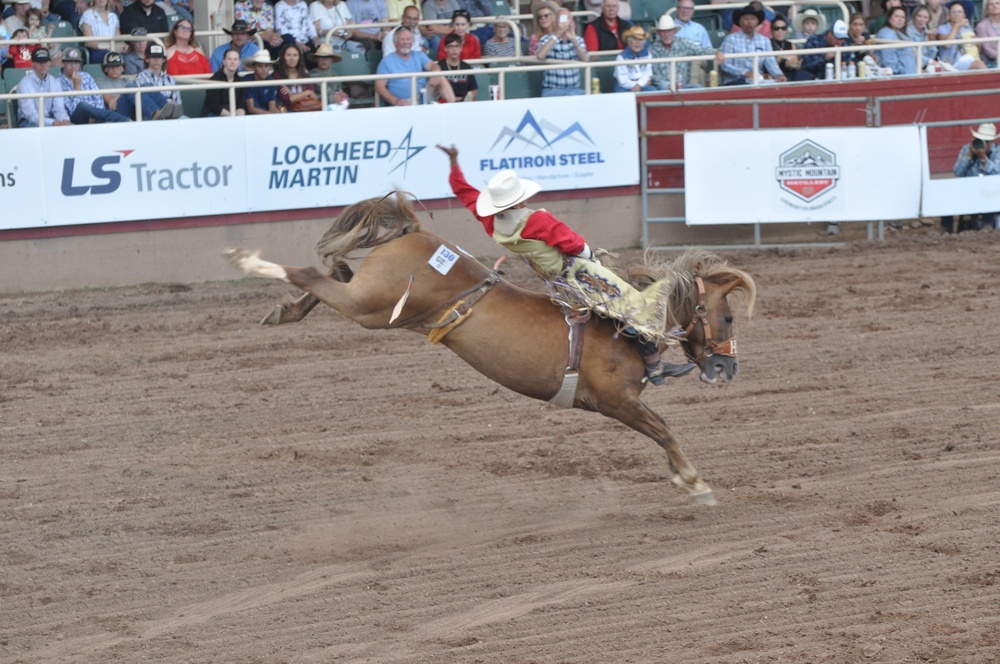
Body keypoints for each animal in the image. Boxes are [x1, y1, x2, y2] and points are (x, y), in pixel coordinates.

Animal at [227, 192, 756, 504]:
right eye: (728, 316)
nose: (727, 368)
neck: (626, 323)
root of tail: (418, 231)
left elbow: (662, 432)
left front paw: (683, 477)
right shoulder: (617, 402)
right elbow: (663, 429)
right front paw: (695, 482)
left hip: (370, 302)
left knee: (330, 273)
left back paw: (284, 309)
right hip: (370, 307)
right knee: (310, 272)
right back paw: (248, 261)